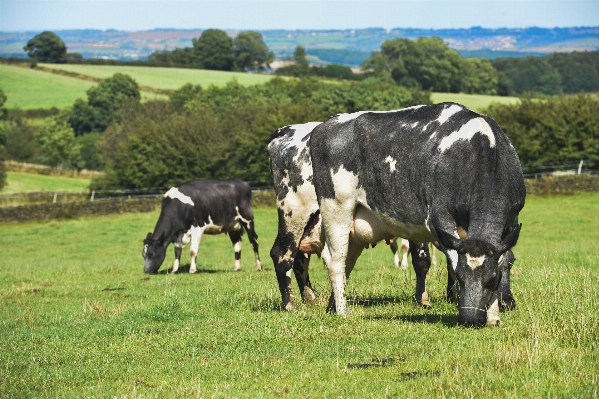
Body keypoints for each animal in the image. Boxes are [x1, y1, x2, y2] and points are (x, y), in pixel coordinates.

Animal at [270, 122, 434, 312]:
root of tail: (284, 131)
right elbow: (422, 260)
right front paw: (423, 300)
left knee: (300, 258)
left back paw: (310, 298)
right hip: (295, 214)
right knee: (282, 254)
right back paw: (290, 305)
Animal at [310, 104, 524, 328]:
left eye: (492, 279)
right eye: (460, 277)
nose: (470, 319)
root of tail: (326, 124)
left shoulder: (510, 222)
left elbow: (503, 260)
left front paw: (494, 316)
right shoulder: (439, 217)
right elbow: (451, 258)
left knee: (347, 262)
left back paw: (332, 307)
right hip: (336, 208)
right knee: (336, 262)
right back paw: (342, 312)